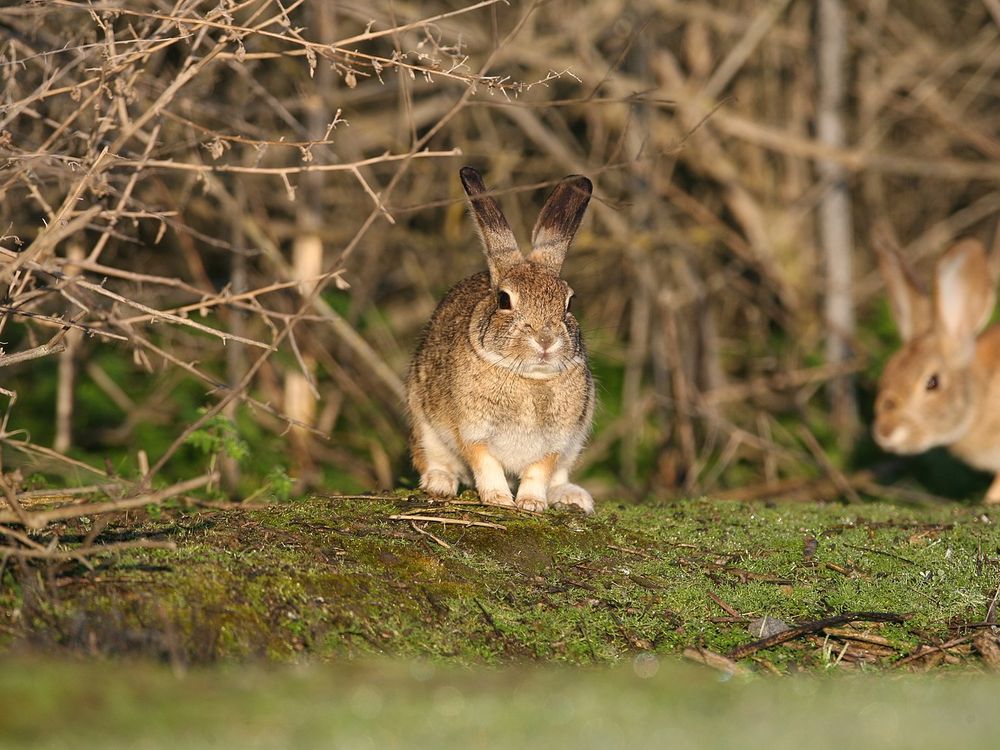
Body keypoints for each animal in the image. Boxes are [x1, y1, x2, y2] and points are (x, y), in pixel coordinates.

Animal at [404, 167, 592, 516]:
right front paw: (499, 499)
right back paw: (440, 483)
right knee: (433, 459)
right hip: (423, 423)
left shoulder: (556, 442)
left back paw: (573, 496)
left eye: (569, 303)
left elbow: (539, 471)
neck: (529, 378)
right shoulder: (472, 432)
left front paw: (531, 504)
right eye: (504, 300)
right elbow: (486, 464)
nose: (545, 340)